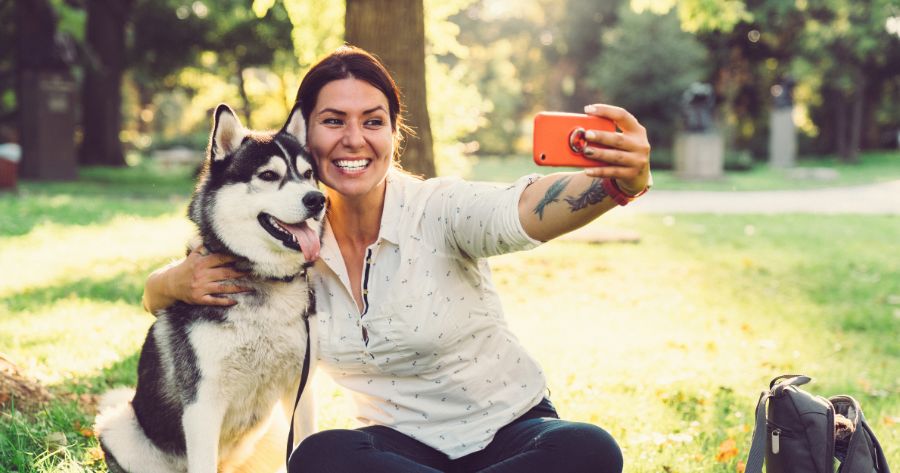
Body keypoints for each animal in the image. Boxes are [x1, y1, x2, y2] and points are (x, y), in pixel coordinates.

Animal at [94, 103, 324, 473]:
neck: (262, 281)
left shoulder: (300, 388)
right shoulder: (202, 402)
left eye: (307, 173)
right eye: (268, 176)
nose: (317, 199)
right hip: (119, 427)